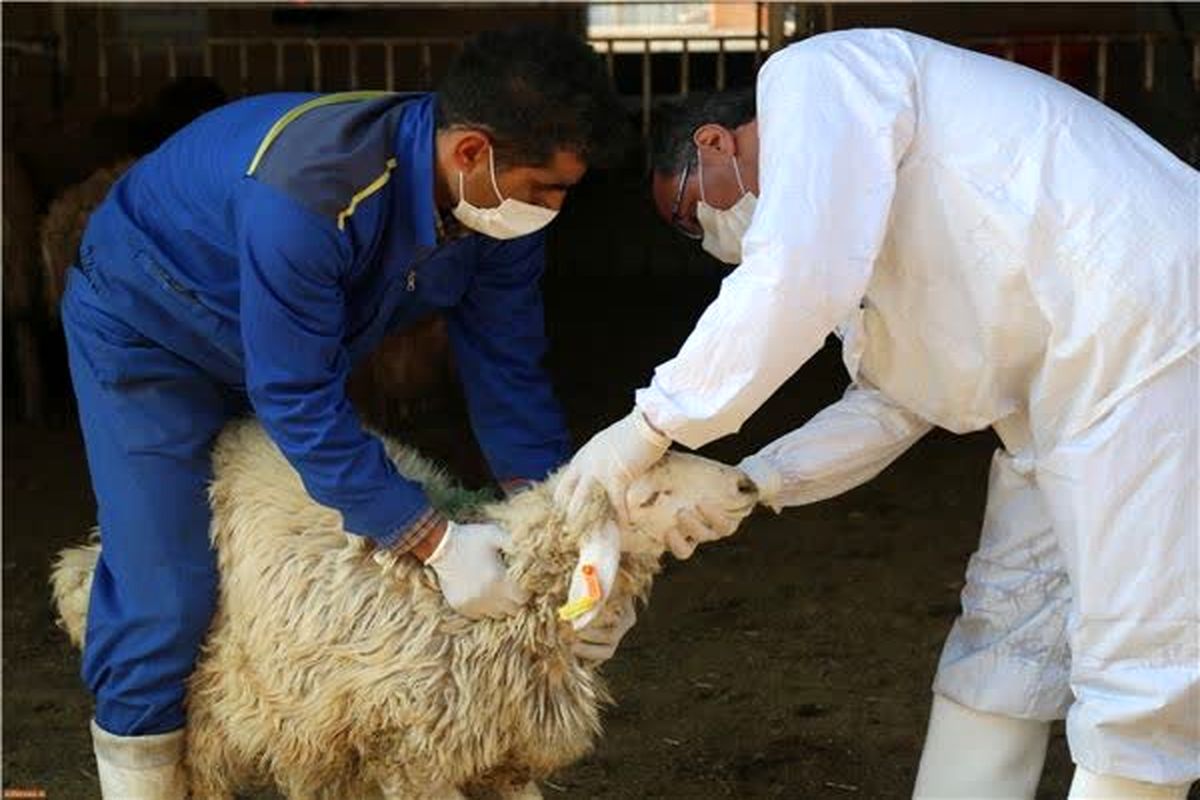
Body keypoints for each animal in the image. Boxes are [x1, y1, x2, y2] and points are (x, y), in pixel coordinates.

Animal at [54, 419, 758, 800]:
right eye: (649, 492)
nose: (747, 484)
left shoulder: (502, 755)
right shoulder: (411, 753)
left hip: (305, 715)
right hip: (212, 700)